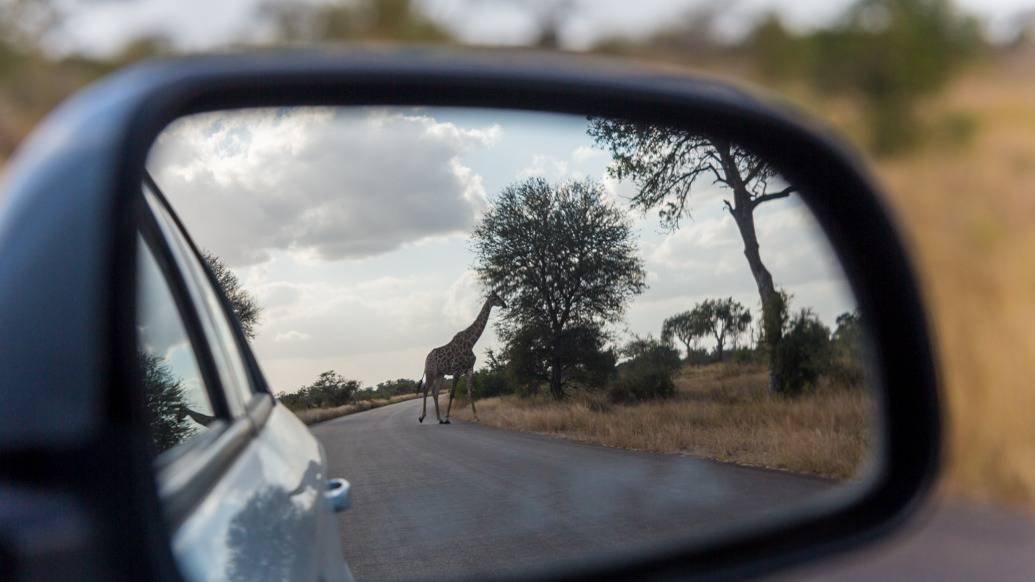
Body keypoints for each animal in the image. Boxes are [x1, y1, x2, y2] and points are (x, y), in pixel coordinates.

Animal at [416, 289, 505, 420]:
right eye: (495, 298)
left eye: (499, 297)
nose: (505, 304)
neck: (471, 342)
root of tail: (426, 358)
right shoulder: (456, 370)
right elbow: (452, 393)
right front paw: (448, 417)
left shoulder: (469, 369)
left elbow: (470, 391)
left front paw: (476, 417)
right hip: (430, 372)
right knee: (425, 390)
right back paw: (422, 417)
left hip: (440, 374)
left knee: (435, 392)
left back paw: (439, 418)